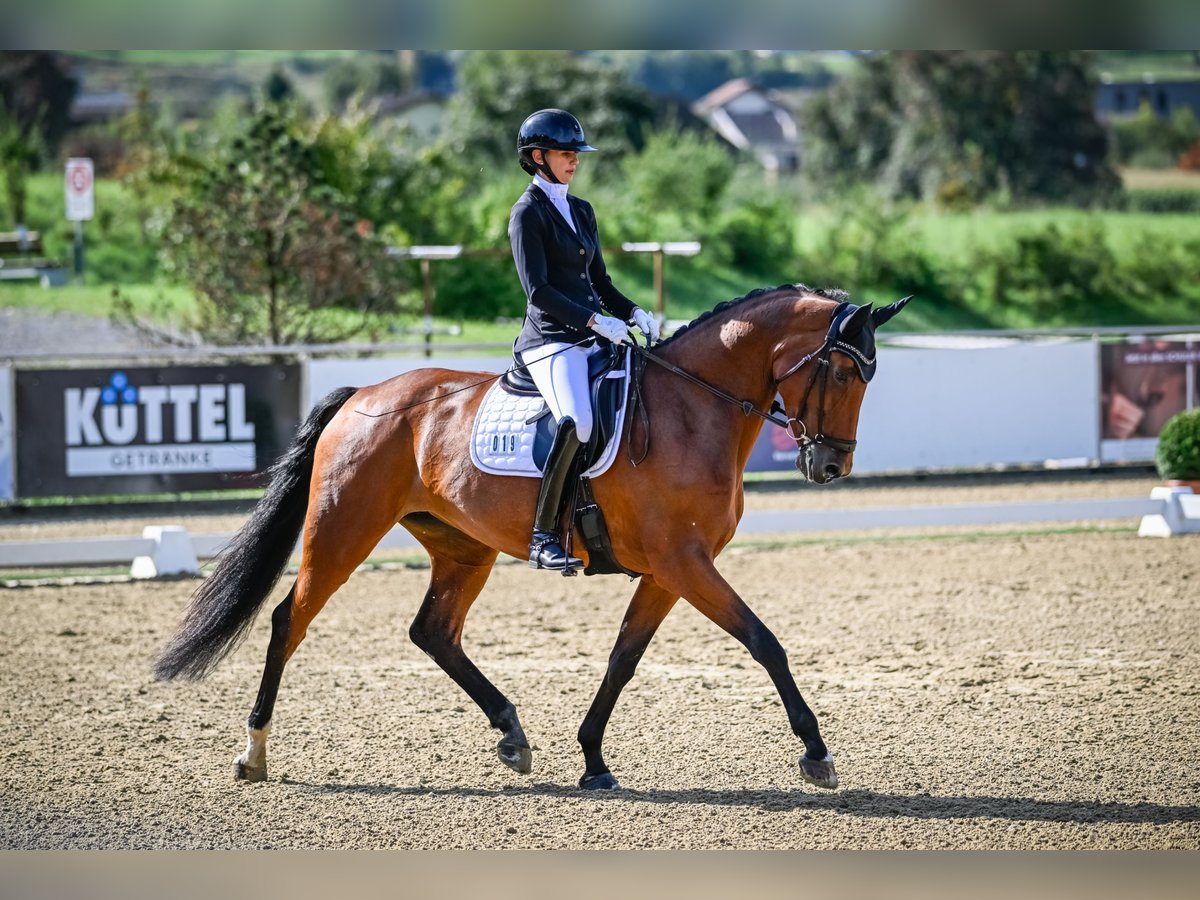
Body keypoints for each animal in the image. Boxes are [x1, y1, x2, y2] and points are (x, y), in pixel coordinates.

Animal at [154, 283, 911, 791]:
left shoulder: (668, 570)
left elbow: (622, 660)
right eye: (844, 369)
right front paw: (816, 754)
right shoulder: (685, 562)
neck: (694, 410)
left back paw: (512, 735)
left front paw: (594, 759)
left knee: (433, 631)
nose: (831, 466)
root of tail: (364, 395)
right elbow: (764, 641)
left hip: (464, 547)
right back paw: (254, 754)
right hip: (342, 529)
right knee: (290, 619)